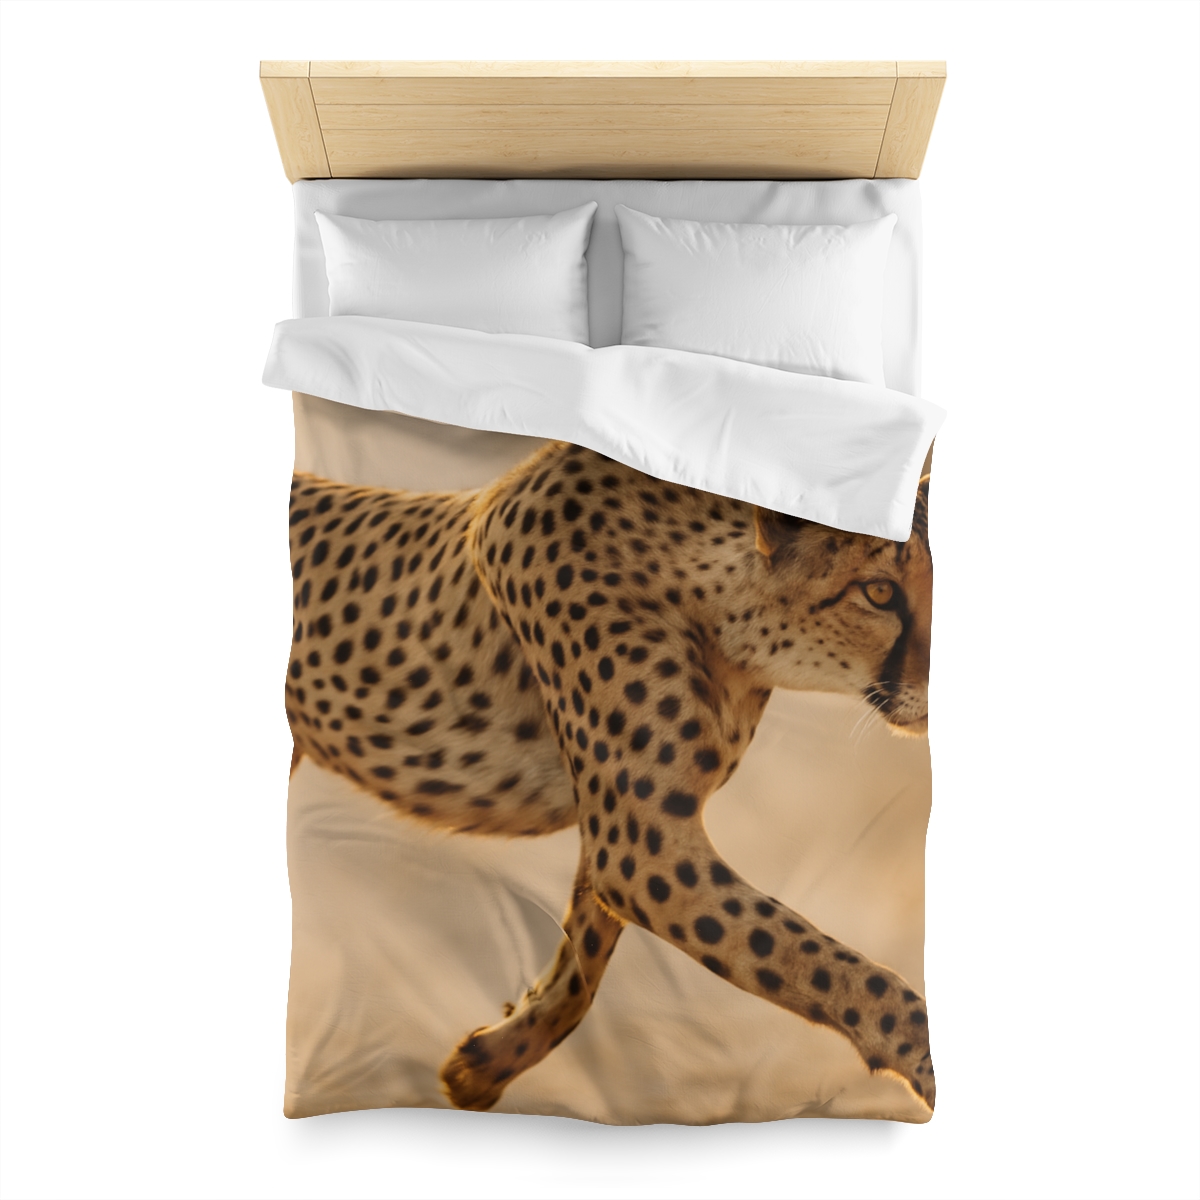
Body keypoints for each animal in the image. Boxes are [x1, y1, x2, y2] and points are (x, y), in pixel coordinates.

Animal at [285, 441, 935, 1115]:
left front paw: (487, 1062)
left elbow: (583, 957)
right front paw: (926, 1058)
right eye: (879, 592)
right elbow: (818, 960)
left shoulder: (628, 828)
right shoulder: (641, 848)